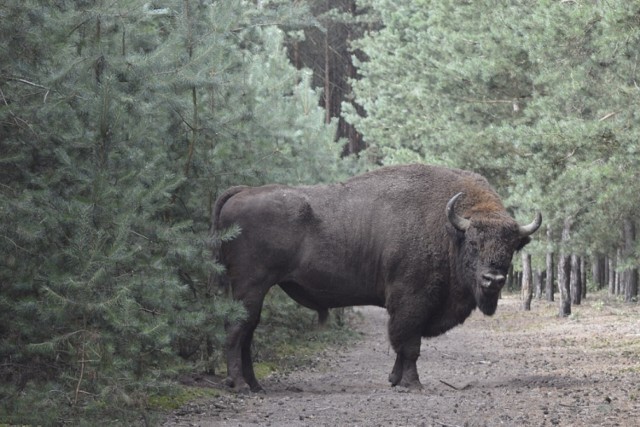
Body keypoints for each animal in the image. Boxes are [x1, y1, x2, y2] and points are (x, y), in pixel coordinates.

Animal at [214, 163, 540, 392]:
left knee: (247, 332)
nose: (493, 279)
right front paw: (412, 383)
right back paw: (240, 386)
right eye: (473, 243)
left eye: (511, 247)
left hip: (253, 291)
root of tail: (241, 192)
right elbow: (409, 344)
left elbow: (404, 343)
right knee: (236, 330)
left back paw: (256, 385)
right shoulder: (412, 300)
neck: (449, 230)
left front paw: (395, 379)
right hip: (250, 287)